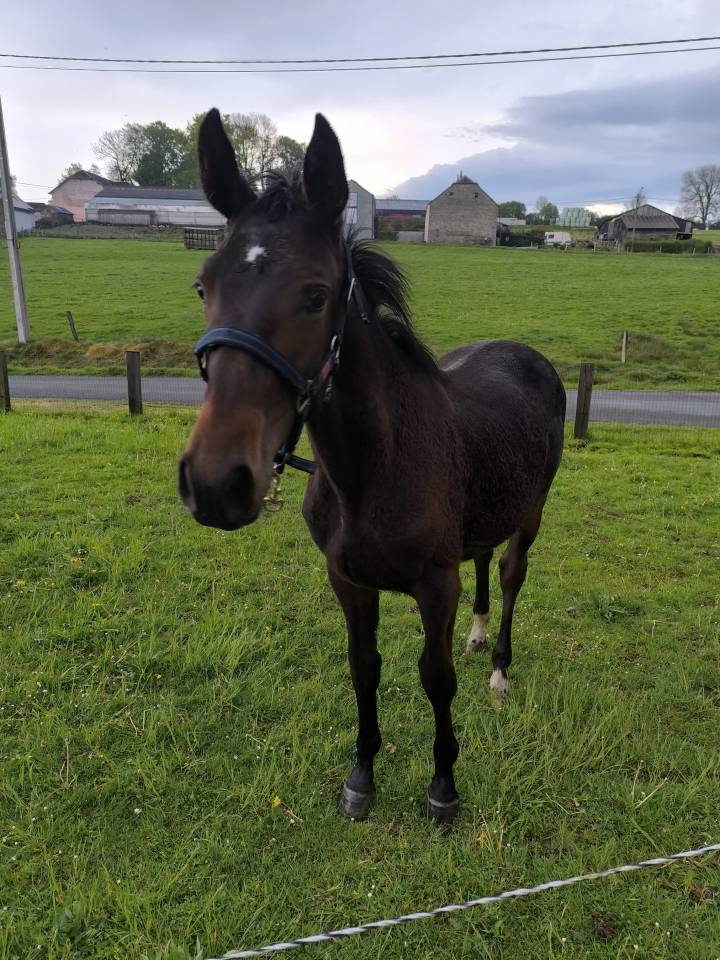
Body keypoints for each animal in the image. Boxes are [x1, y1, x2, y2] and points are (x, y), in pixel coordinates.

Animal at [178, 108, 566, 824]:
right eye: (202, 284)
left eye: (315, 295)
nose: (217, 484)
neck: (372, 470)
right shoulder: (347, 580)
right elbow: (365, 668)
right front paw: (361, 777)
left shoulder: (434, 586)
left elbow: (435, 678)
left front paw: (443, 786)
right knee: (482, 560)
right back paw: (477, 638)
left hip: (531, 512)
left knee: (508, 574)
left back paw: (498, 665)